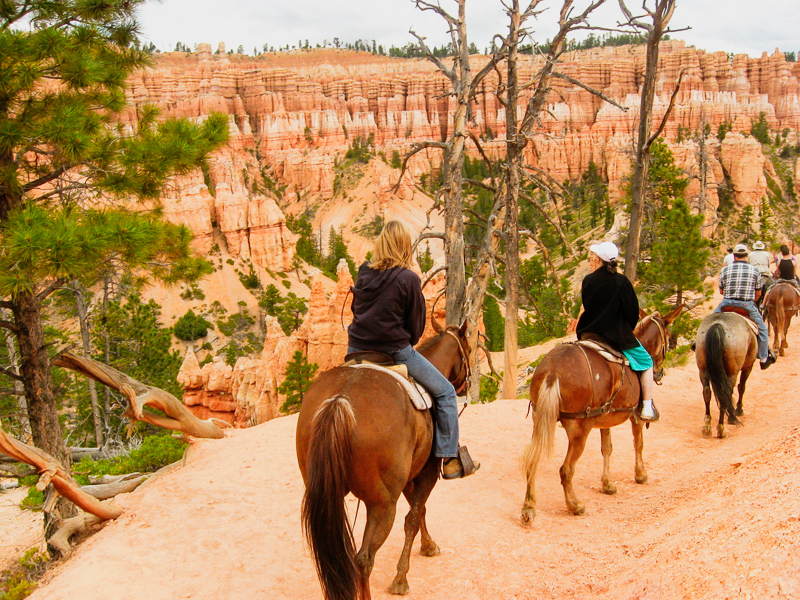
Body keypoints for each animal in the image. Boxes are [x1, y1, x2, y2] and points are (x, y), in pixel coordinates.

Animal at [296, 318, 468, 600]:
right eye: (469, 349)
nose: (467, 383)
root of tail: (339, 402)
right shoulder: (427, 472)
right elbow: (412, 518)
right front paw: (401, 578)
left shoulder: (410, 476)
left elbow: (419, 511)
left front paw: (428, 545)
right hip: (382, 504)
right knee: (364, 558)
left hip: (327, 493)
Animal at [520, 308, 684, 524]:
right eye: (668, 336)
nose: (659, 372)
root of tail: (554, 370)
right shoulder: (636, 417)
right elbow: (638, 443)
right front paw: (640, 474)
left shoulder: (605, 419)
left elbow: (607, 448)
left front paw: (608, 484)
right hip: (579, 430)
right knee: (566, 470)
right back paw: (575, 505)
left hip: (541, 421)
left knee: (532, 461)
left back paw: (529, 507)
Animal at [696, 308, 760, 438]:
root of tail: (717, 326)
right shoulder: (748, 366)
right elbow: (742, 387)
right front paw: (738, 411)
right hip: (732, 372)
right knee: (725, 394)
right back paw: (721, 429)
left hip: (702, 370)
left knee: (707, 392)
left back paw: (707, 427)